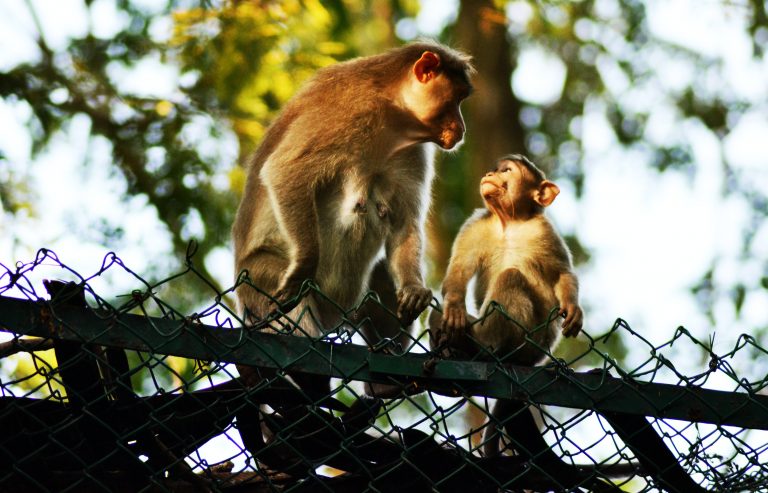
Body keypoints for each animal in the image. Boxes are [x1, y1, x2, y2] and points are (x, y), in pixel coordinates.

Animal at [232, 41, 474, 398]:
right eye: (456, 99)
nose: (462, 127)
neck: (392, 114)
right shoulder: (349, 113)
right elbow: (286, 171)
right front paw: (303, 267)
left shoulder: (411, 151)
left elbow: (404, 223)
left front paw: (414, 288)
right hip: (256, 283)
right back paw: (309, 378)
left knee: (382, 274)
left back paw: (384, 380)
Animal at [428, 154, 583, 455]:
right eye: (497, 169)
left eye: (507, 171)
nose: (491, 174)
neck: (509, 222)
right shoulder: (476, 226)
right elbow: (458, 271)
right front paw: (454, 308)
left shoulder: (543, 231)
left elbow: (561, 274)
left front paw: (573, 308)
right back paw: (451, 343)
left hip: (536, 340)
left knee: (510, 277)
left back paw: (481, 346)